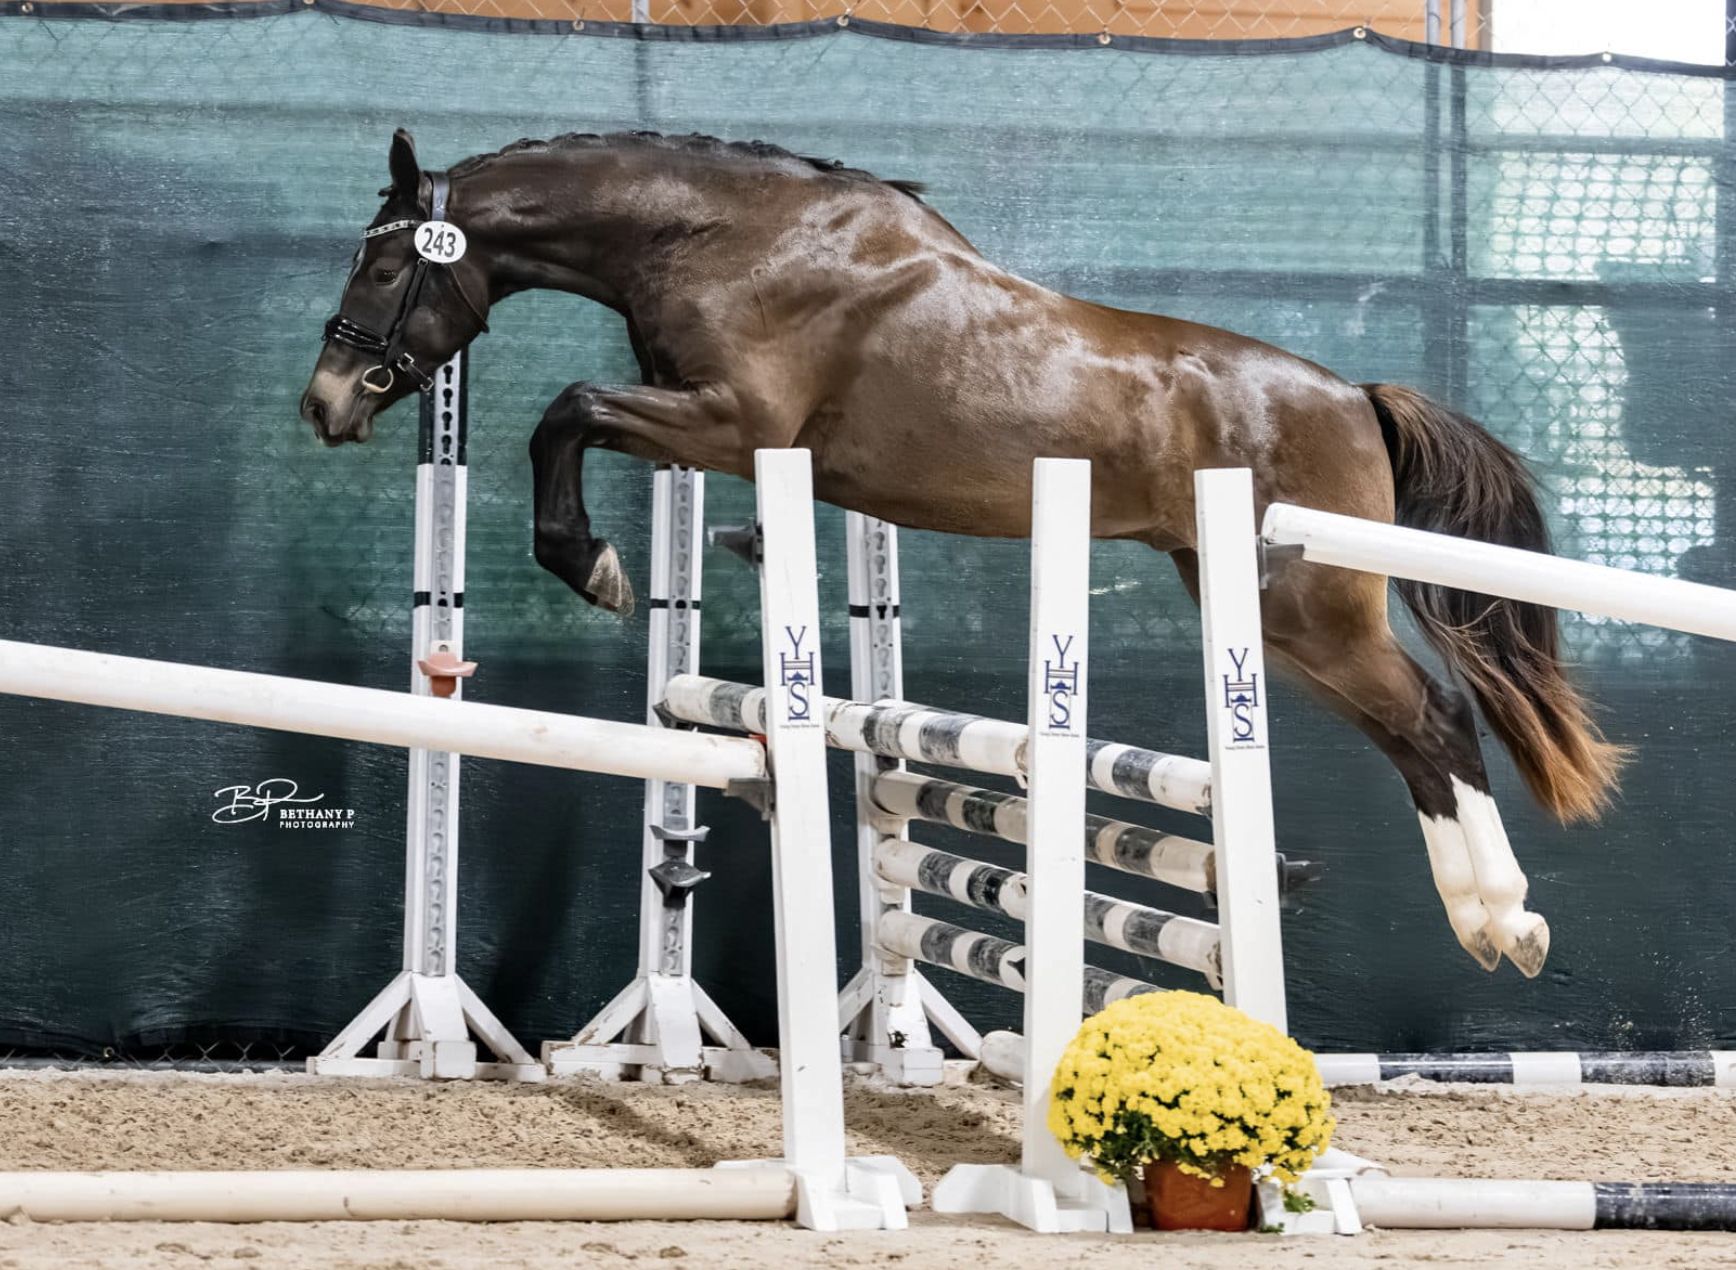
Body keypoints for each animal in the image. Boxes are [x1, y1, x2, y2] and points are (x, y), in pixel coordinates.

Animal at [301, 128, 1624, 979]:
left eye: (385, 261)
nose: (324, 405)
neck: (728, 236)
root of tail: (1351, 394)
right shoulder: (709, 427)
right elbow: (571, 416)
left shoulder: (733, 422)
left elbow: (563, 409)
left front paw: (591, 563)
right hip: (1261, 604)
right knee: (1412, 738)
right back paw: (1487, 923)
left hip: (1306, 601)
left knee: (1434, 720)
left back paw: (1505, 921)